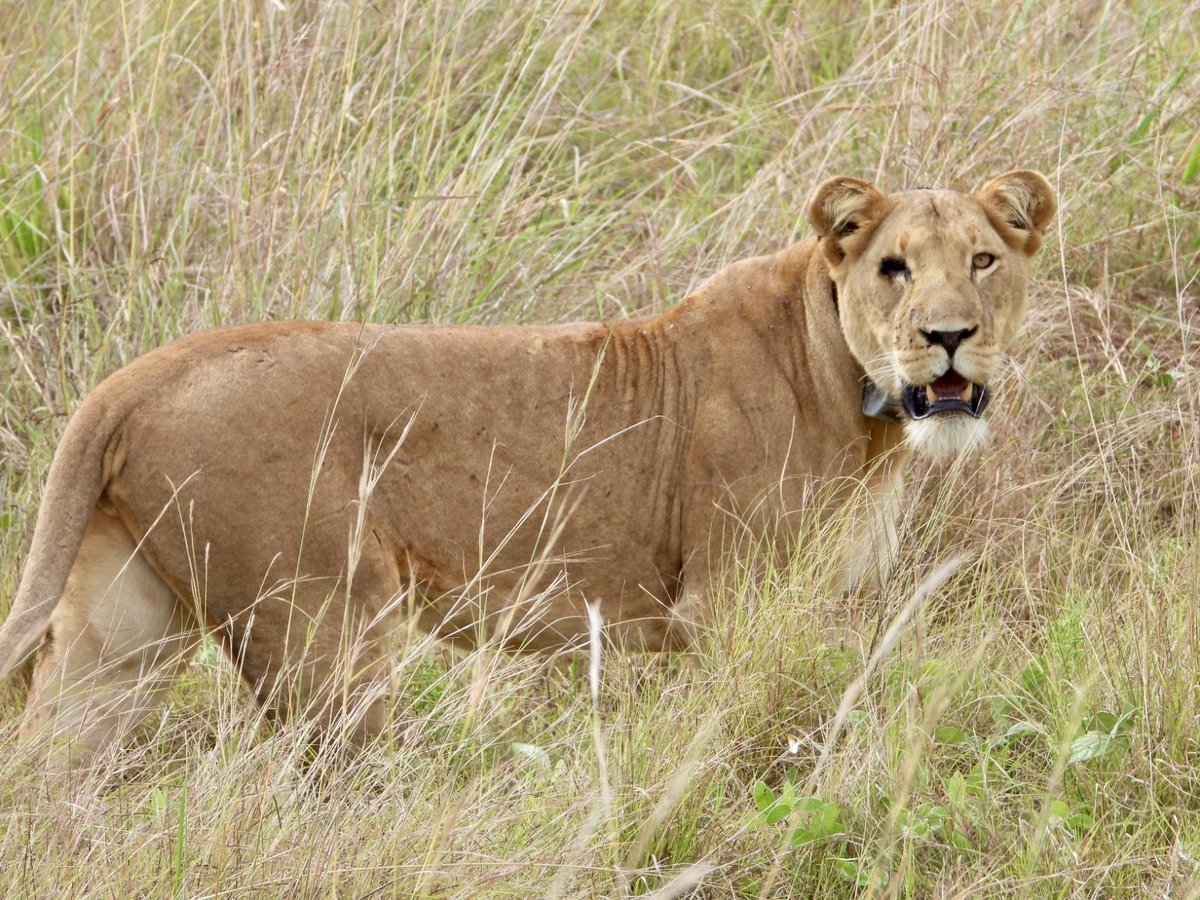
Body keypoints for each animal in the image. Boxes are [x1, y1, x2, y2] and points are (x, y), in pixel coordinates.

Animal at [0, 170, 1055, 767]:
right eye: (894, 268)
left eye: (983, 259)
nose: (948, 337)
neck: (852, 388)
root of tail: (137, 375)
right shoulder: (729, 605)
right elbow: (762, 727)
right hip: (321, 626)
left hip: (122, 629)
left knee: (53, 763)